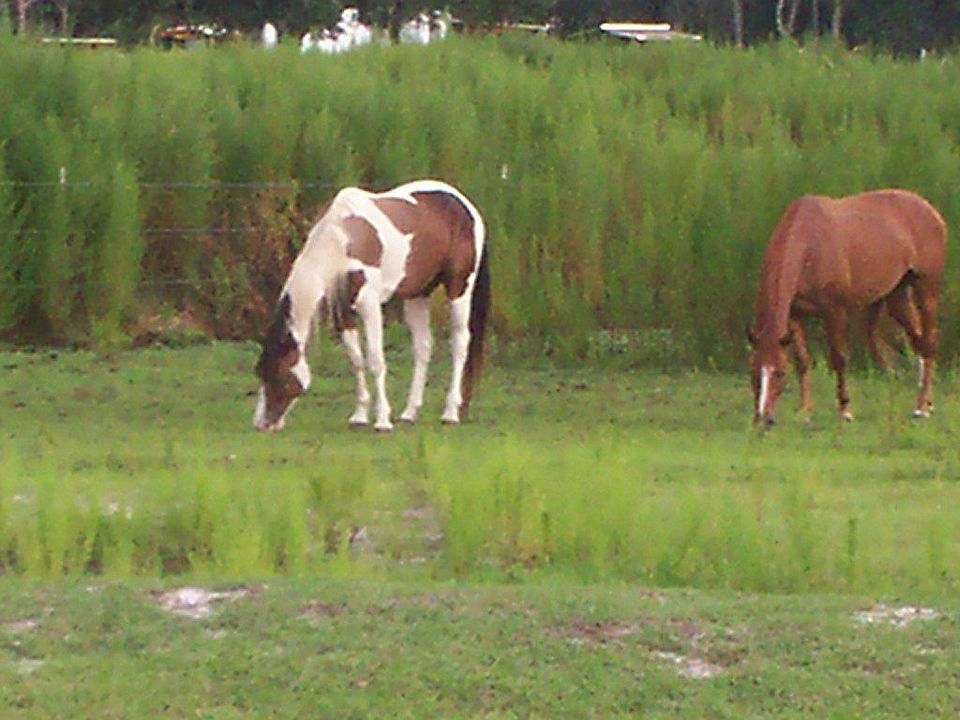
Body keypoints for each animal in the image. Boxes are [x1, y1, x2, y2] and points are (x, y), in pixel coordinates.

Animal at [253, 179, 490, 433]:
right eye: (259, 372)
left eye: (278, 373)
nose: (261, 424)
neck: (343, 239)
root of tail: (465, 205)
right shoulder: (344, 309)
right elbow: (356, 360)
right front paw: (360, 416)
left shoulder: (370, 304)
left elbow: (376, 361)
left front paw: (383, 420)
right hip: (418, 294)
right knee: (423, 346)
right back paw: (409, 413)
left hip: (459, 288)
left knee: (460, 343)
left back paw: (450, 413)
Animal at [749, 189, 947, 428]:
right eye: (753, 370)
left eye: (779, 373)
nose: (763, 419)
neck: (809, 244)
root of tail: (930, 210)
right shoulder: (794, 315)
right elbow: (802, 361)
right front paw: (805, 410)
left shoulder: (835, 311)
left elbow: (839, 358)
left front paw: (845, 411)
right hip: (896, 296)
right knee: (917, 341)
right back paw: (926, 401)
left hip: (926, 290)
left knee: (929, 342)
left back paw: (921, 408)